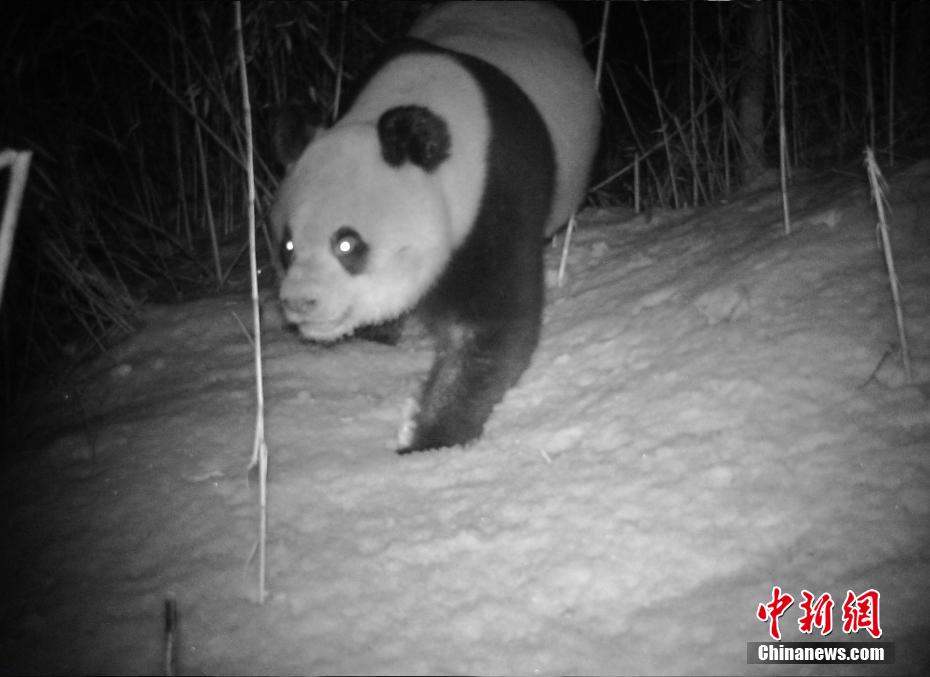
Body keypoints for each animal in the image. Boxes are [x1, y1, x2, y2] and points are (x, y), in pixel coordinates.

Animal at [272, 2, 600, 454]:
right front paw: (376, 337)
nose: (301, 302)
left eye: (347, 245)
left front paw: (430, 438)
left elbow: (487, 328)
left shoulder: (495, 191)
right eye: (287, 247)